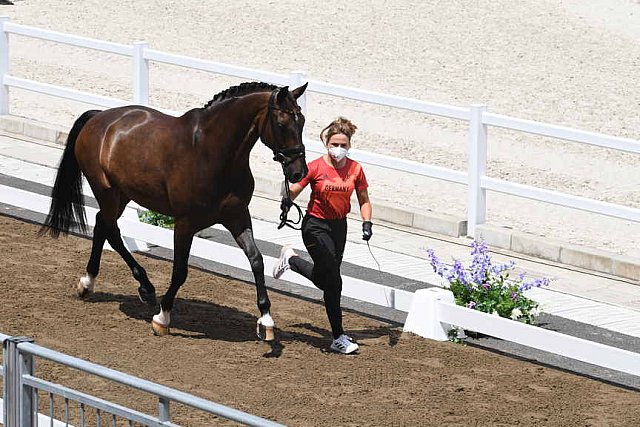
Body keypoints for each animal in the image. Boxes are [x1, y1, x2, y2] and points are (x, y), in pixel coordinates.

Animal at [40, 81, 310, 342]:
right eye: (281, 123)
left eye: (302, 121)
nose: (298, 172)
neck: (214, 153)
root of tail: (99, 117)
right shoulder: (185, 223)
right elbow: (180, 271)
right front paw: (162, 318)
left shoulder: (237, 217)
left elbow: (256, 260)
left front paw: (266, 320)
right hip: (105, 191)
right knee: (112, 232)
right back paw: (143, 288)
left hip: (122, 194)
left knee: (102, 226)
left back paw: (91, 284)